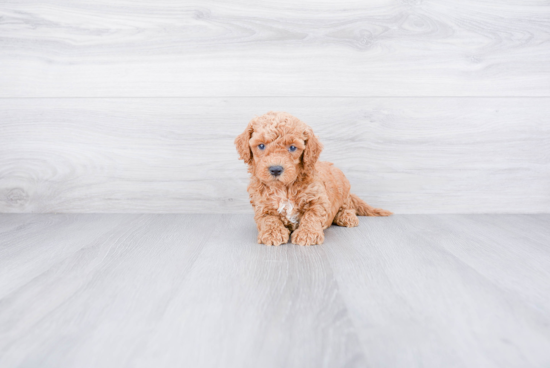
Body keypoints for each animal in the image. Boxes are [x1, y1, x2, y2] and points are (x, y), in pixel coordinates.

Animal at [233, 110, 392, 246]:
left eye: (292, 147)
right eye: (261, 146)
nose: (276, 169)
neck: (284, 187)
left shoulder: (318, 199)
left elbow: (312, 215)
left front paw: (307, 234)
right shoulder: (262, 205)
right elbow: (268, 219)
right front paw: (273, 233)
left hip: (343, 187)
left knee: (348, 206)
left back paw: (346, 216)